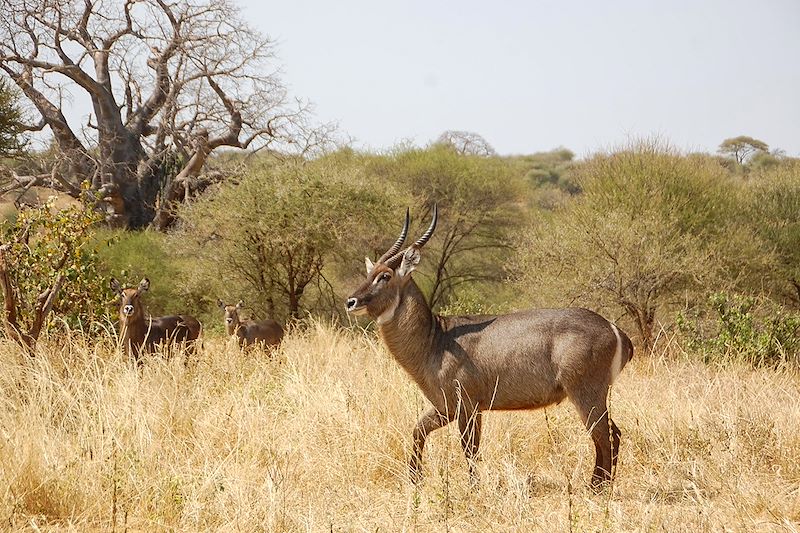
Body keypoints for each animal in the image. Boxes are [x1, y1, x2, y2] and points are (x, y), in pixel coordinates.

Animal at [346, 207, 636, 486]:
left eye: (385, 276)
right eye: (369, 273)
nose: (351, 301)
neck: (434, 339)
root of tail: (615, 329)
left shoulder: (467, 405)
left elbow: (469, 449)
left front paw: (473, 489)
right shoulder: (446, 408)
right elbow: (418, 430)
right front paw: (414, 479)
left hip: (585, 392)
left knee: (606, 435)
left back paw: (598, 488)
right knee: (611, 433)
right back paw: (597, 485)